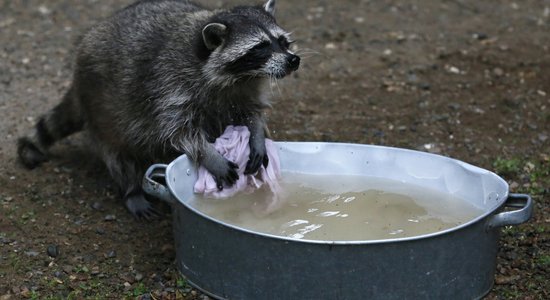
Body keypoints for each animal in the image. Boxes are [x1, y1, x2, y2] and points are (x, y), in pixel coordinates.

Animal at [16, 0, 302, 218]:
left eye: (282, 42)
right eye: (260, 48)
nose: (293, 60)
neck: (240, 77)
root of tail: (76, 82)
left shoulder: (247, 89)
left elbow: (250, 112)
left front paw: (256, 134)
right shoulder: (168, 85)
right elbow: (176, 130)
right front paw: (208, 154)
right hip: (101, 109)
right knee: (118, 154)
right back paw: (131, 189)